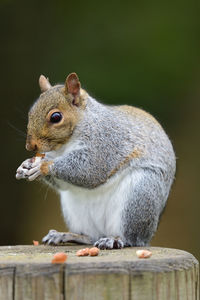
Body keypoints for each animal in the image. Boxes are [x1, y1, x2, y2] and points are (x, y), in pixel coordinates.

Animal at [15, 72, 176, 248]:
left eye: (56, 117)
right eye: (31, 113)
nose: (30, 146)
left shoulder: (106, 142)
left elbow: (91, 169)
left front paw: (42, 166)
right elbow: (64, 183)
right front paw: (24, 167)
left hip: (140, 195)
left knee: (130, 239)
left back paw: (114, 239)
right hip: (74, 211)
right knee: (89, 237)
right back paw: (66, 235)